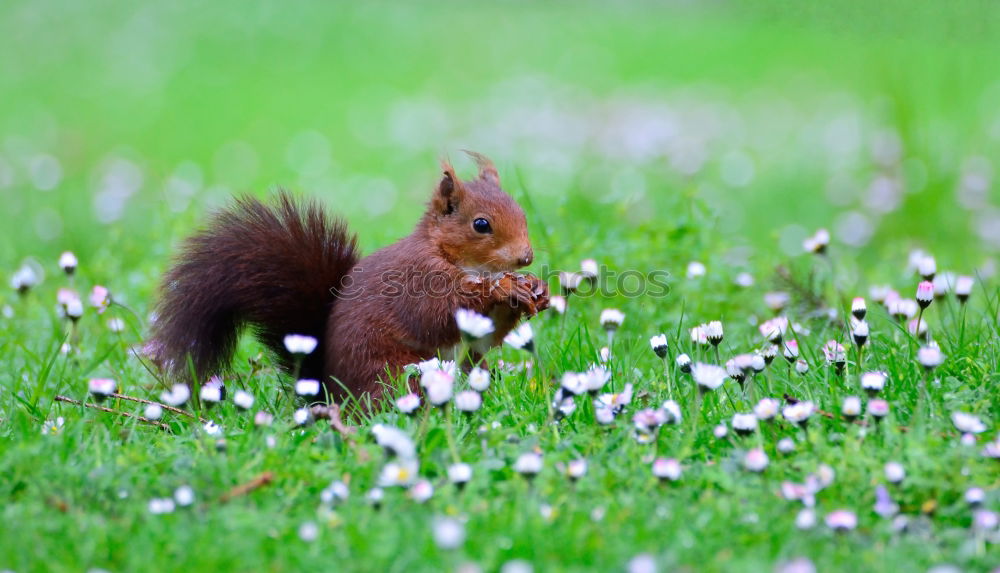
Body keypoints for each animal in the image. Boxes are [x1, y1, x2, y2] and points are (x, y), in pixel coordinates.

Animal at [152, 152, 552, 402]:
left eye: (521, 211)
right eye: (480, 224)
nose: (526, 257)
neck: (456, 258)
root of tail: (331, 394)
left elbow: (486, 336)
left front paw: (535, 289)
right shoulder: (417, 278)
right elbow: (438, 314)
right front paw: (500, 287)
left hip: (468, 367)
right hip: (396, 372)